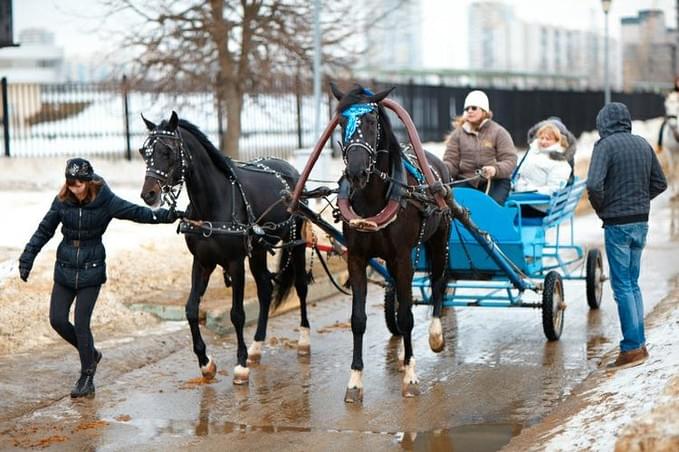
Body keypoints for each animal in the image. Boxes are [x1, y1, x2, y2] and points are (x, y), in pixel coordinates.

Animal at [141, 111, 310, 384]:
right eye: (143, 152)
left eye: (167, 151)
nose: (149, 194)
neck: (211, 203)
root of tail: (291, 171)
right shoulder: (202, 262)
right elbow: (191, 310)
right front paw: (205, 361)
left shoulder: (235, 262)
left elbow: (237, 314)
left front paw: (240, 364)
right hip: (258, 251)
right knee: (265, 289)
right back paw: (257, 346)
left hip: (297, 244)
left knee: (301, 286)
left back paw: (304, 340)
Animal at [332, 85, 454, 402]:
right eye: (340, 121)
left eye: (372, 121)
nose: (356, 172)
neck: (374, 197)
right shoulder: (357, 259)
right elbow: (358, 319)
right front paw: (355, 380)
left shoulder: (401, 257)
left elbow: (408, 316)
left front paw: (411, 376)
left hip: (440, 239)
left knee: (438, 282)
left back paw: (435, 335)